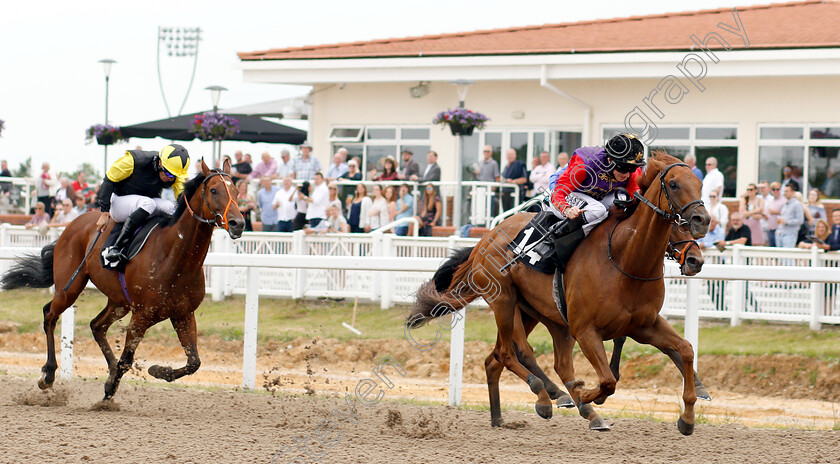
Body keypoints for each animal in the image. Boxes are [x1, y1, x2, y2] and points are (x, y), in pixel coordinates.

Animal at [2, 158, 246, 400]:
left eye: (236, 190)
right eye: (213, 190)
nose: (238, 223)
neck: (175, 257)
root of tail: (73, 223)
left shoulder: (183, 314)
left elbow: (194, 361)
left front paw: (157, 371)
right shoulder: (141, 315)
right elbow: (127, 360)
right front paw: (109, 393)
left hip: (119, 301)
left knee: (96, 325)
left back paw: (107, 370)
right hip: (68, 288)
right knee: (50, 315)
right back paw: (49, 374)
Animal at [410, 153, 712, 436]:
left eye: (700, 184)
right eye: (674, 184)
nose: (702, 221)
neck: (625, 259)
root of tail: (485, 239)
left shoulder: (644, 324)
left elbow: (685, 349)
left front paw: (688, 415)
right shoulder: (586, 329)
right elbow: (607, 381)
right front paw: (586, 396)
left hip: (538, 313)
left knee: (505, 359)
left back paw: (504, 416)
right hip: (504, 301)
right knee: (511, 353)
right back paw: (550, 397)